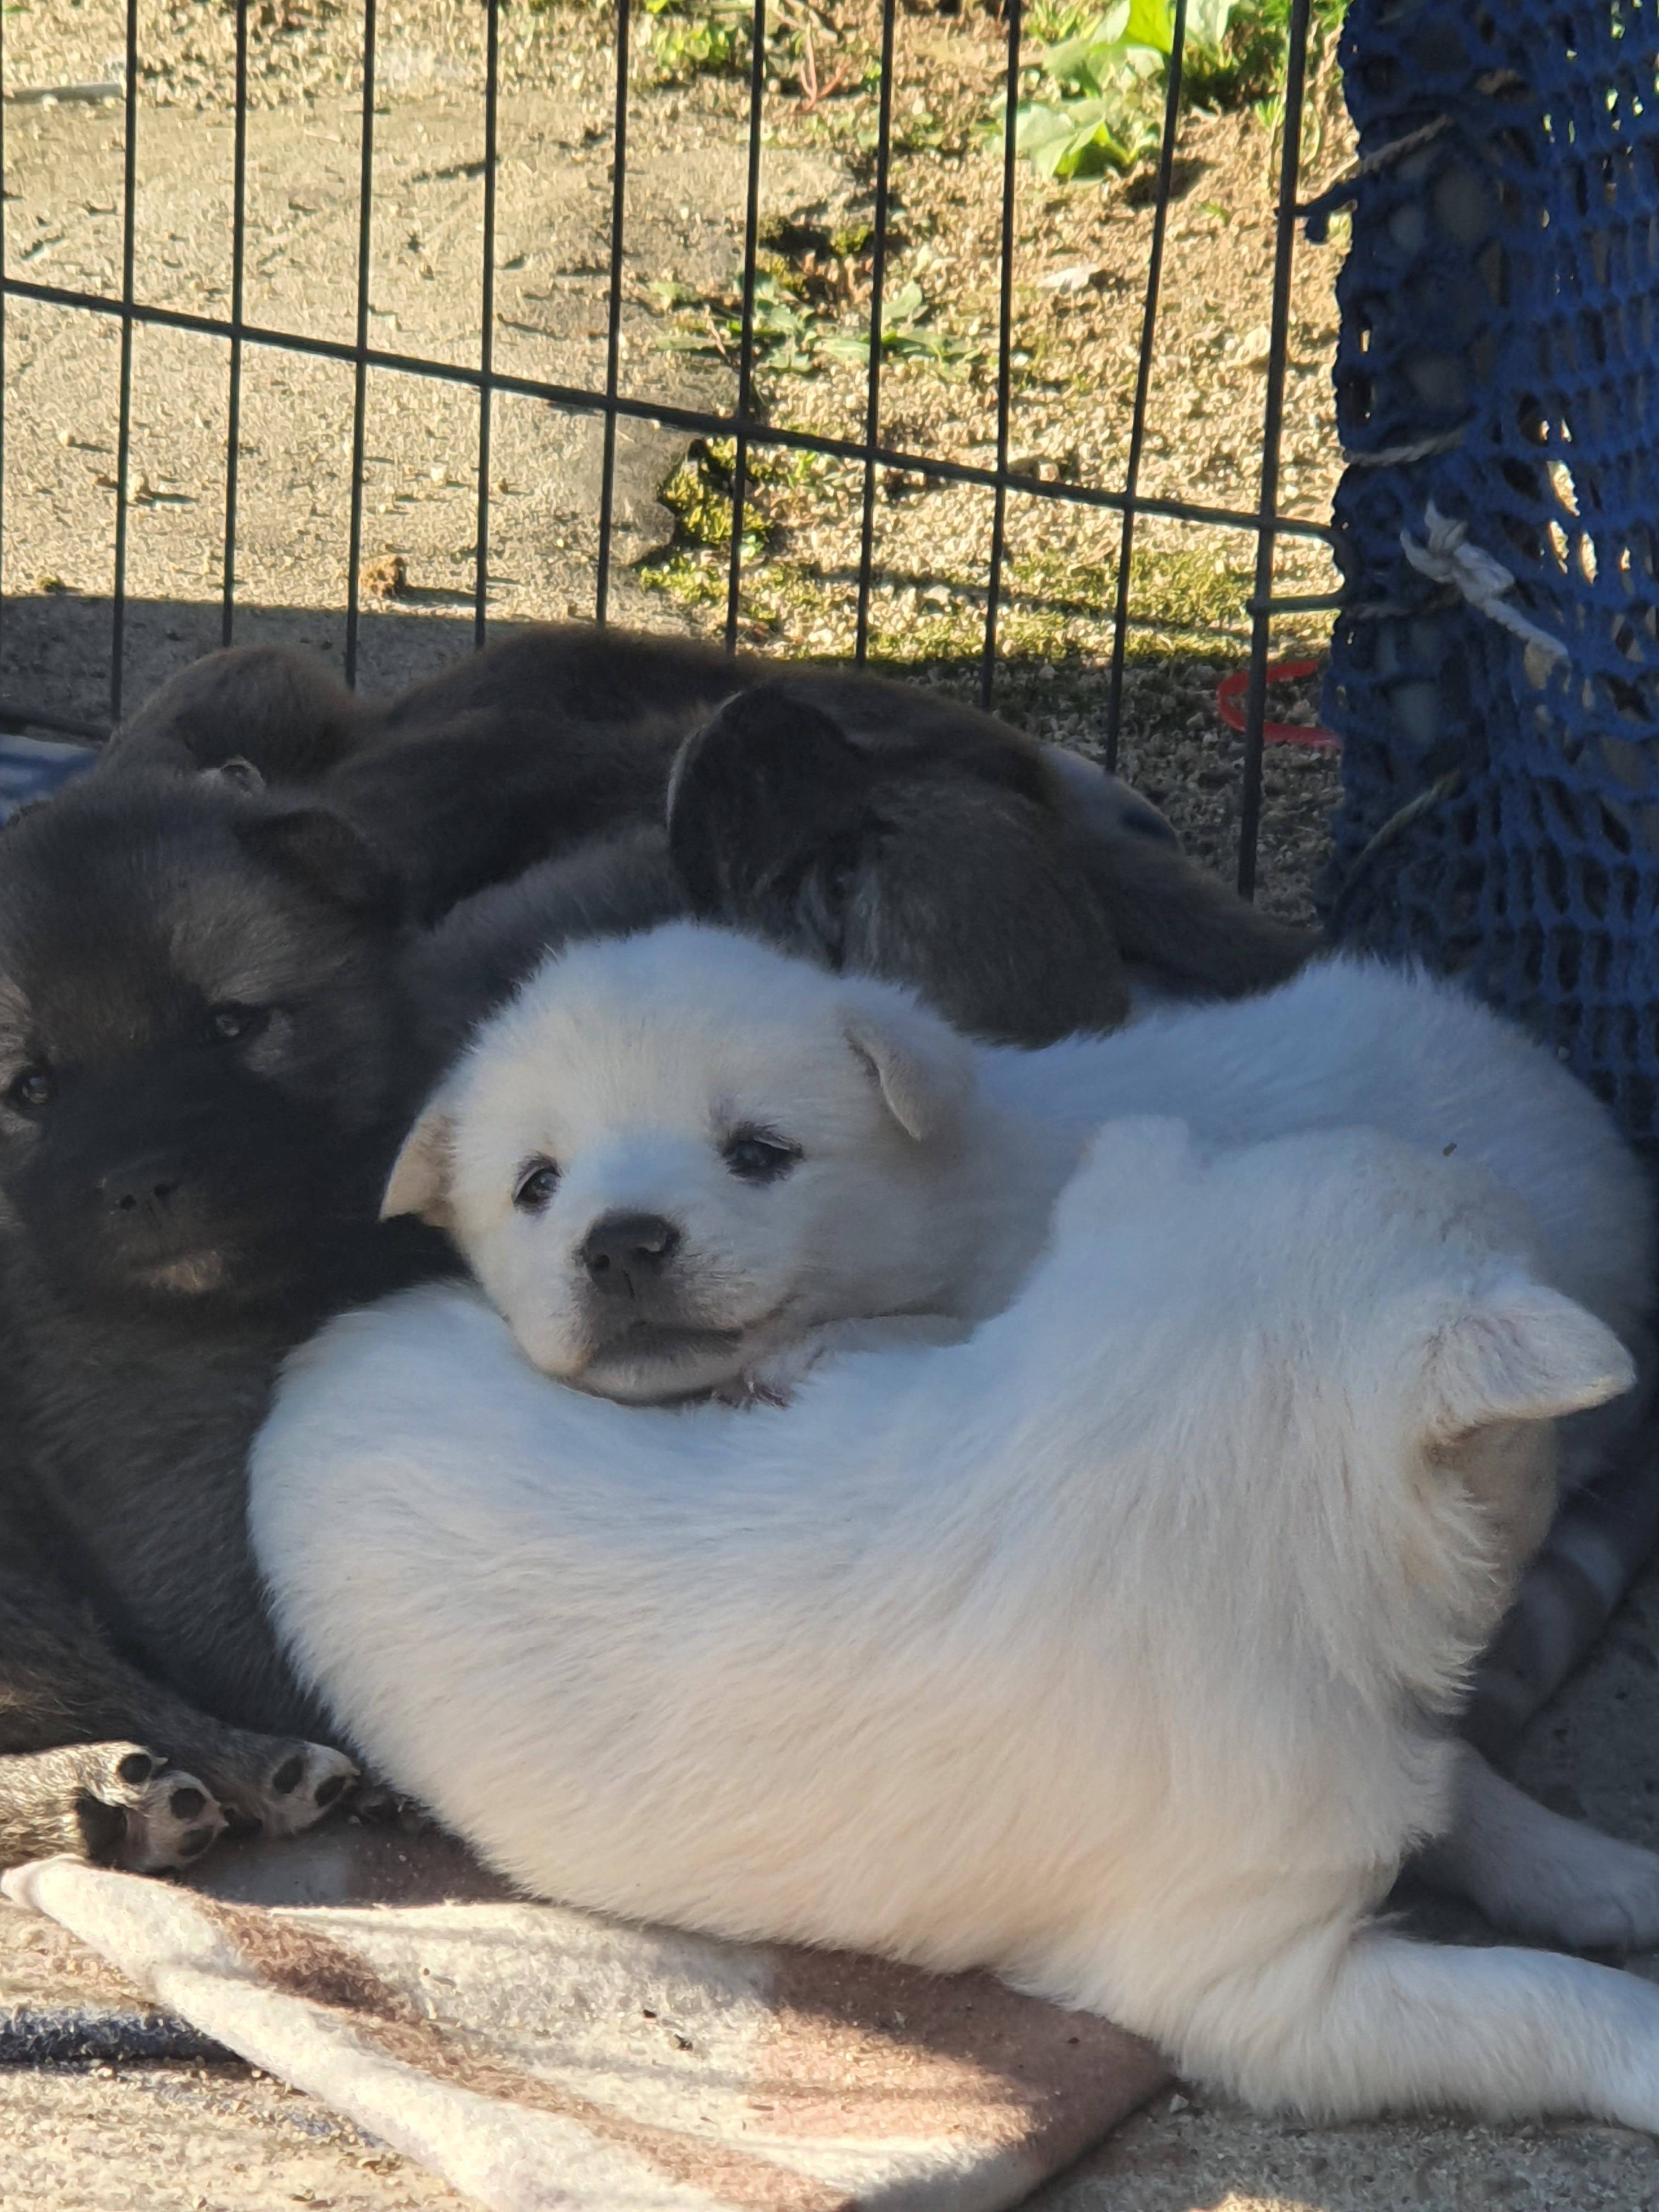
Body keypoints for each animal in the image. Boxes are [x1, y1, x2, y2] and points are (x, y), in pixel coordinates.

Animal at [256, 1124, 1659, 2123]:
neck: (1145, 1445)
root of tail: (307, 1370)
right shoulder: (1263, 1990)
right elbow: (1532, 1999)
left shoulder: (1381, 1754)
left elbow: (1475, 1794)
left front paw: (1611, 1874)